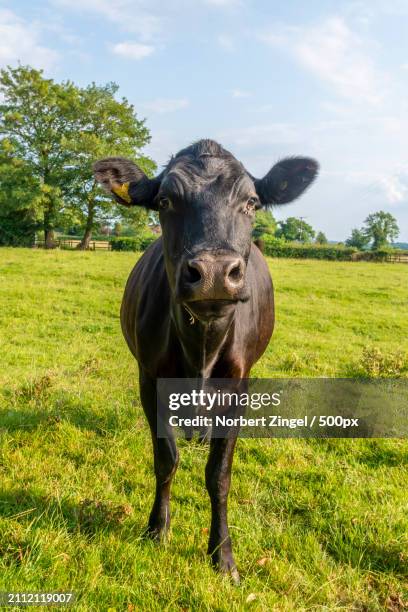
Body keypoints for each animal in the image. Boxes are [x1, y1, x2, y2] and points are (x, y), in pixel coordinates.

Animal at [93, 140, 318, 584]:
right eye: (165, 201)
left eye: (251, 202)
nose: (214, 272)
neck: (202, 347)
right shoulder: (150, 379)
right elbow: (166, 459)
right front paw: (157, 528)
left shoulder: (238, 387)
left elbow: (219, 475)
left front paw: (223, 555)